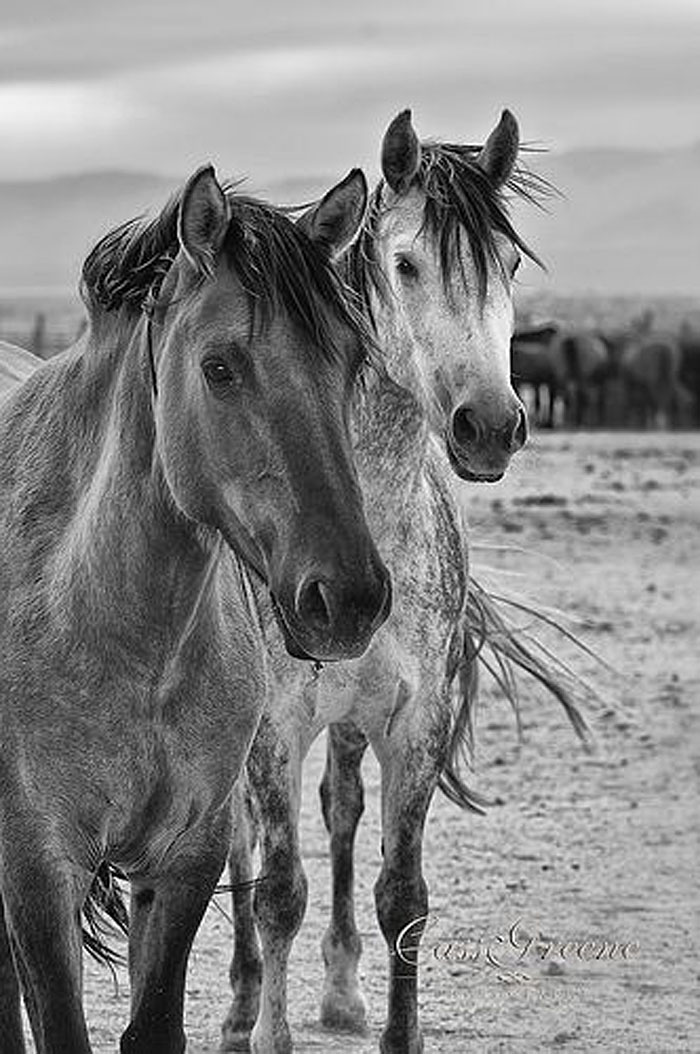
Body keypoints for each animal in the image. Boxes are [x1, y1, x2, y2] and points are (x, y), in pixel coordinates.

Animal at [0, 164, 390, 1054]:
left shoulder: (184, 859)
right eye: (219, 367)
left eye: (352, 359)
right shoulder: (37, 866)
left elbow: (154, 1027)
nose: (348, 598)